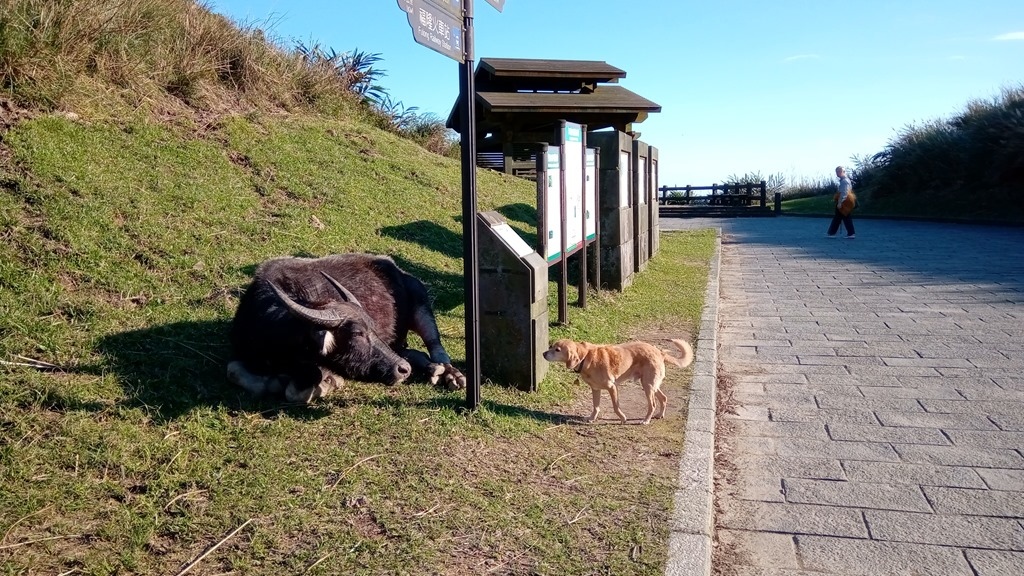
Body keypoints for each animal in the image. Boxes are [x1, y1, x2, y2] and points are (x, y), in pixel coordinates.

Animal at [226, 253, 466, 401]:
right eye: (358, 333)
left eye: (372, 328)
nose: (403, 370)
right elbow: (234, 371)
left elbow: (296, 391)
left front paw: (329, 382)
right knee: (414, 353)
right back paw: (432, 370)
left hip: (422, 307)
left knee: (437, 349)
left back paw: (450, 375)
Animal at [540, 336, 692, 422]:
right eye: (552, 346)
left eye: (557, 350)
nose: (543, 354)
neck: (586, 357)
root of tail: (659, 352)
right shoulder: (595, 389)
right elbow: (596, 406)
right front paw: (591, 418)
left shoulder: (612, 387)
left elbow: (615, 406)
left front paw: (623, 418)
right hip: (650, 384)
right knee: (664, 398)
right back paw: (660, 415)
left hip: (648, 386)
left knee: (653, 404)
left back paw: (646, 420)